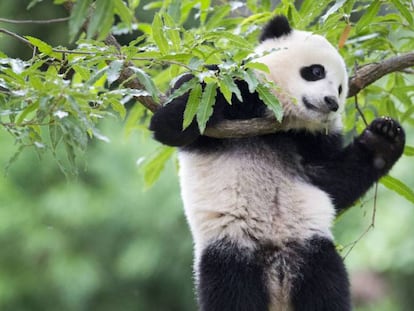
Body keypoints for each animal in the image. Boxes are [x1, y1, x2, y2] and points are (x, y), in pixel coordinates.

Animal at [148, 15, 404, 311]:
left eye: (341, 89)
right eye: (316, 71)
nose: (331, 102)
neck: (282, 121)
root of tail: (277, 278)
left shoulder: (313, 141)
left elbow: (333, 183)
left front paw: (383, 139)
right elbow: (175, 122)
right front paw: (201, 89)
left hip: (312, 251)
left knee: (326, 291)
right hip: (231, 252)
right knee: (233, 293)